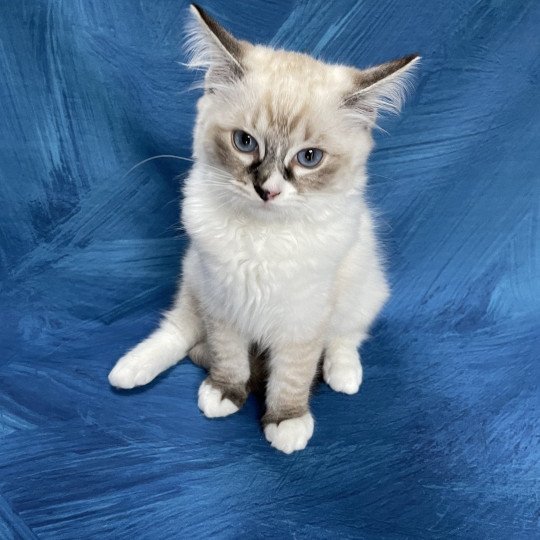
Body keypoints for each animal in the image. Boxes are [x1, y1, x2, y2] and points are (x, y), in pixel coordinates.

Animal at [107, 4, 420, 454]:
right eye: (244, 142)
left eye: (309, 158)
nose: (267, 190)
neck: (262, 237)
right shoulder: (222, 302)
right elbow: (229, 356)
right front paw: (224, 393)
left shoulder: (303, 317)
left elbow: (291, 374)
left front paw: (286, 422)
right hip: (193, 280)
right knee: (179, 331)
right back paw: (128, 371)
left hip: (364, 290)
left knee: (347, 336)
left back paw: (344, 375)